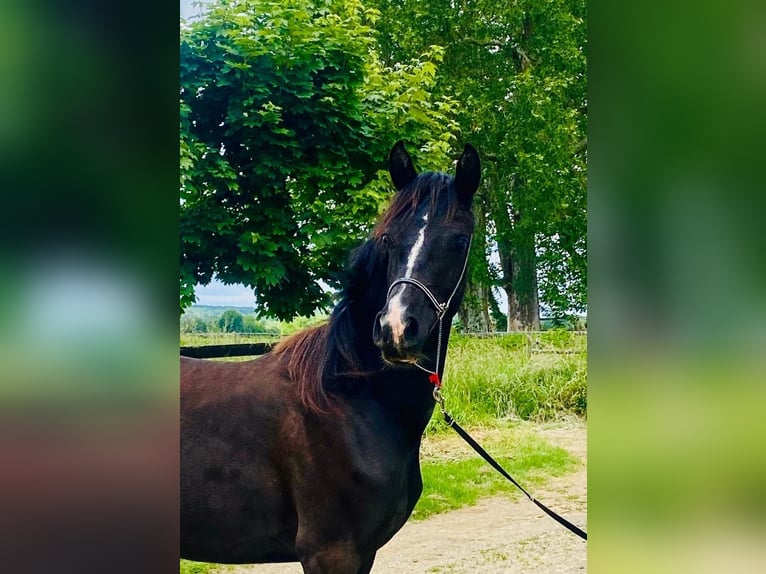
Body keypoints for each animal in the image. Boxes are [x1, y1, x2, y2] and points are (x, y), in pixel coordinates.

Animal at [181, 142, 480, 572]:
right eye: (388, 239)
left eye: (458, 240)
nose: (395, 329)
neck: (350, 399)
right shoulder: (330, 551)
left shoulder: (363, 552)